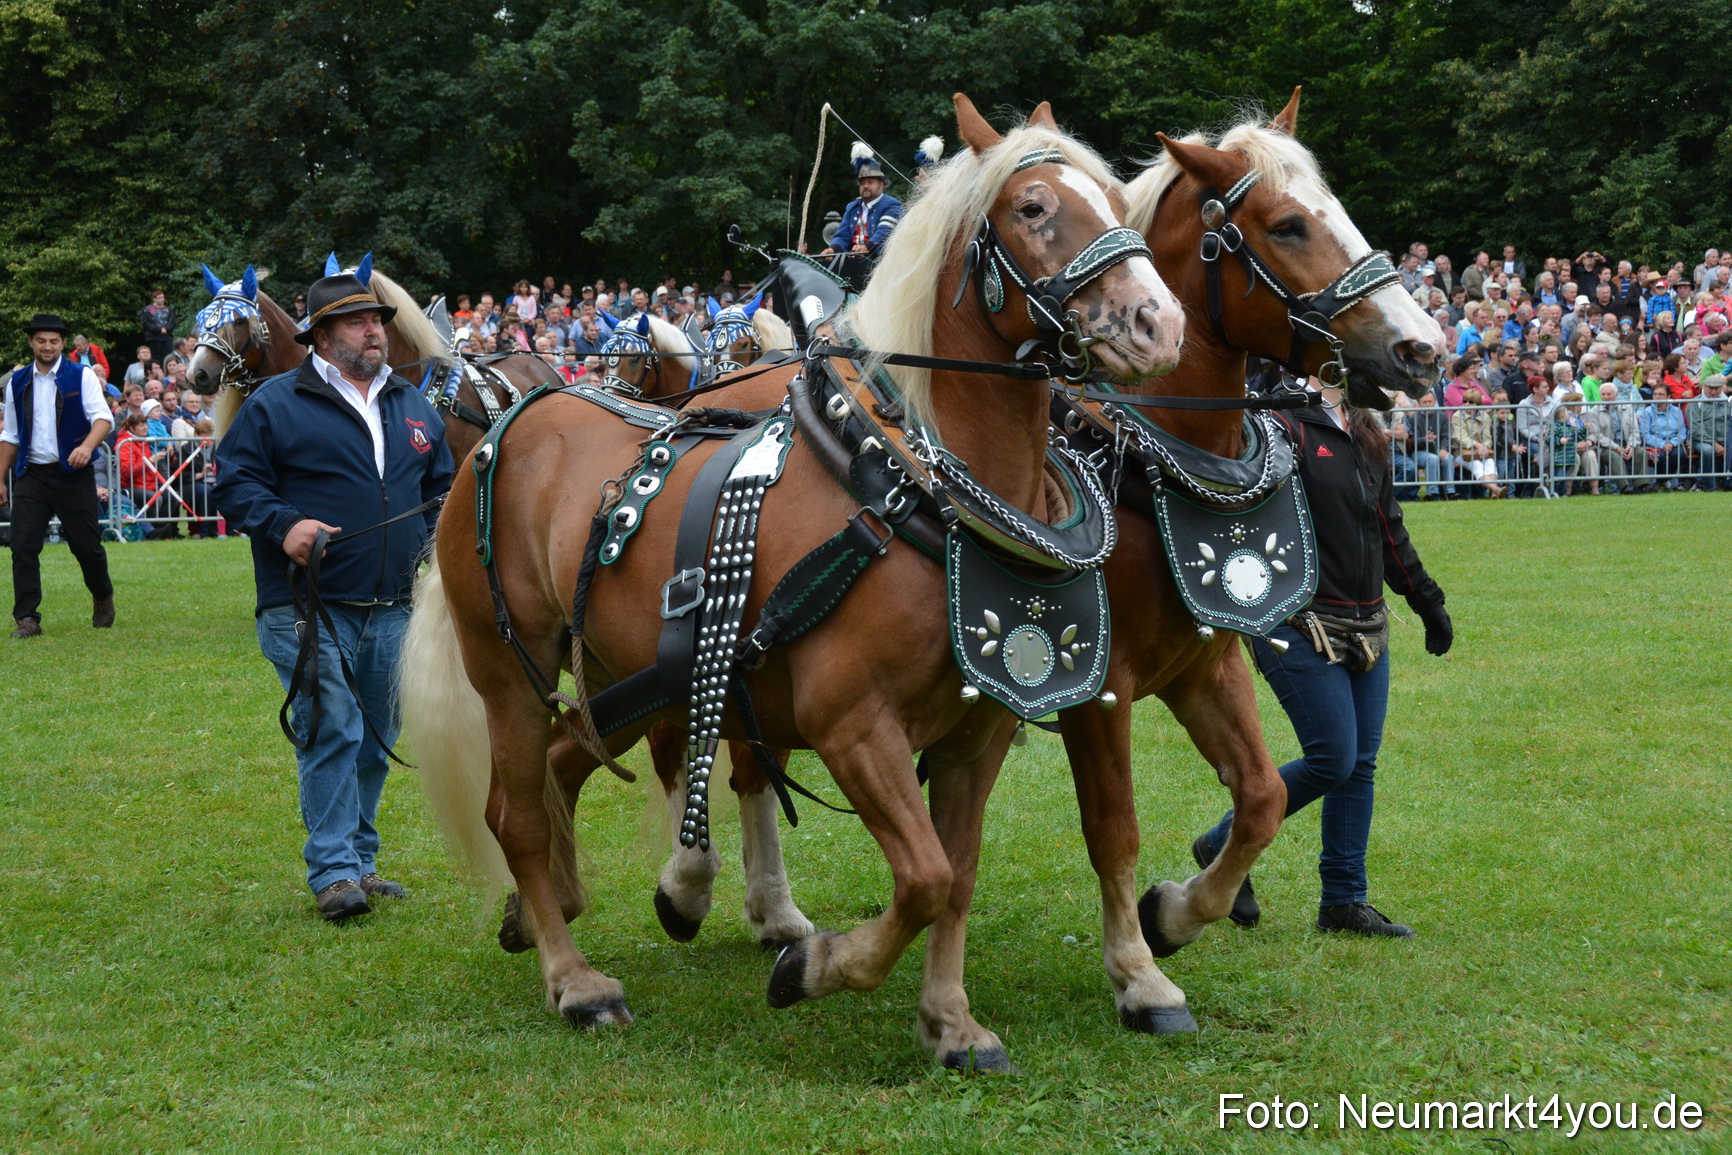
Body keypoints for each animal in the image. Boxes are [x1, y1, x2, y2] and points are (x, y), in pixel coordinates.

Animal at [399, 93, 1182, 1068]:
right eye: (1034, 207)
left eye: (1117, 197)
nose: (1159, 323)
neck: (912, 489)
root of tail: (511, 420)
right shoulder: (852, 725)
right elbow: (922, 875)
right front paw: (812, 967)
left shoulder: (979, 728)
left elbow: (956, 873)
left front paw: (951, 1021)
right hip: (510, 664)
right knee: (517, 813)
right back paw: (574, 978)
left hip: (629, 670)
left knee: (555, 768)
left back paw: (551, 911)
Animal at [1047, 87, 1445, 1031]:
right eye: (1290, 224)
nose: (1421, 347)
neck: (1147, 463)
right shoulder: (1099, 689)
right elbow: (1113, 824)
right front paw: (1139, 975)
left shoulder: (1209, 662)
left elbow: (1262, 796)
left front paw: (1175, 913)